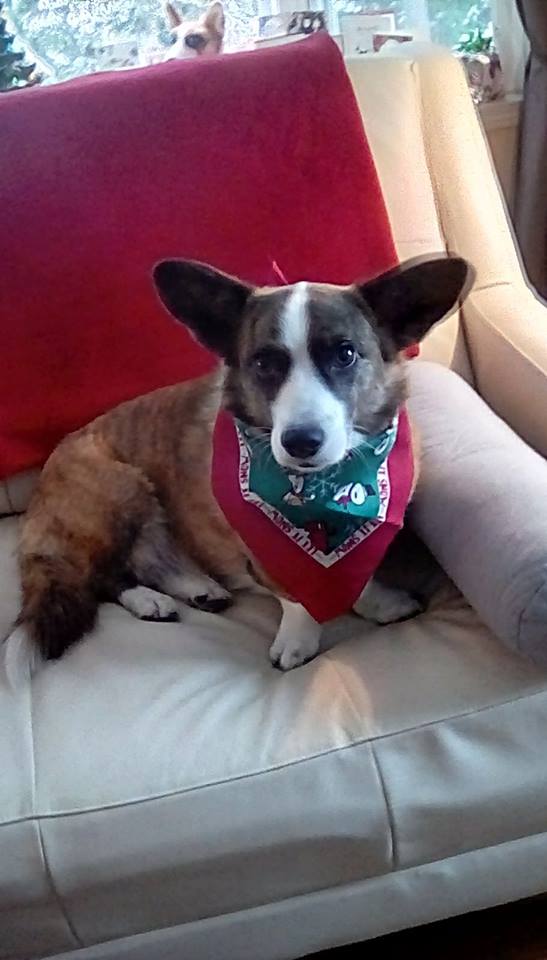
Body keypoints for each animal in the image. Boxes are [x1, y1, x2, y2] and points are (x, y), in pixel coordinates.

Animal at [17, 255, 469, 670]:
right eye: (264, 362)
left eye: (345, 354)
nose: (301, 442)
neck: (322, 490)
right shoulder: (264, 555)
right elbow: (295, 598)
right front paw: (299, 641)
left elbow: (361, 576)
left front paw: (380, 603)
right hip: (121, 491)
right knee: (103, 576)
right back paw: (148, 599)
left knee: (149, 555)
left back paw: (198, 588)